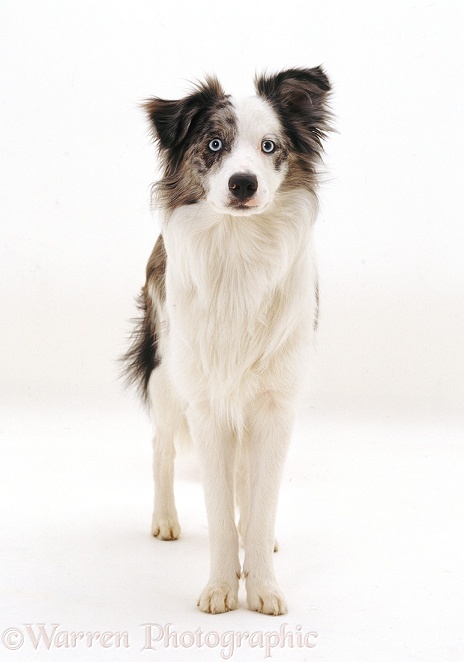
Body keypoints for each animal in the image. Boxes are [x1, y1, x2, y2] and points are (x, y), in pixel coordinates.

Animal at [123, 67, 330, 616]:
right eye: (214, 144)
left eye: (269, 146)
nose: (243, 183)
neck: (240, 251)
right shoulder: (207, 404)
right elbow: (216, 508)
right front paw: (220, 587)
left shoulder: (275, 405)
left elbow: (259, 502)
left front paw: (262, 585)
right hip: (168, 375)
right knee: (161, 447)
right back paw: (165, 520)